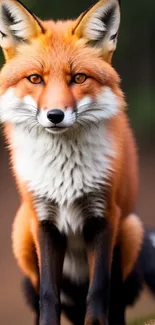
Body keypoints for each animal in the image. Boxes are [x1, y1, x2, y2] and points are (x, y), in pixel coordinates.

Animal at [0, 0, 143, 324]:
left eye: (78, 78)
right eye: (35, 78)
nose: (55, 115)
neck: (64, 175)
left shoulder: (104, 217)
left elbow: (99, 290)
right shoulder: (43, 221)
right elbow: (48, 295)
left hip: (132, 230)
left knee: (117, 300)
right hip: (21, 233)